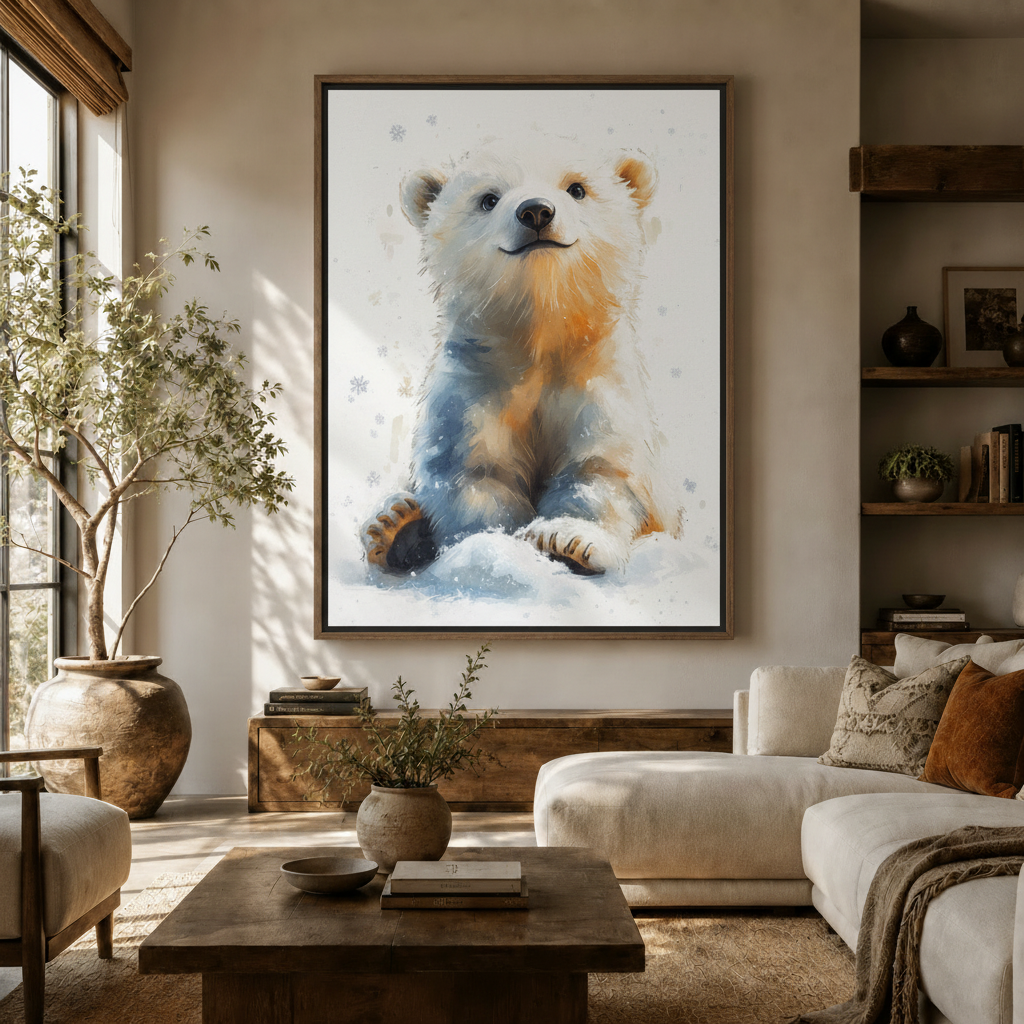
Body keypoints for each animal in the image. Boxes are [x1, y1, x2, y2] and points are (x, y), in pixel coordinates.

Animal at [363, 142, 673, 578]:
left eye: (577, 188)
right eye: (488, 199)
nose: (536, 211)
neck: (538, 336)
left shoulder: (596, 378)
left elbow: (597, 467)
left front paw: (567, 542)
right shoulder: (478, 382)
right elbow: (477, 472)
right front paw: (498, 549)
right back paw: (396, 528)